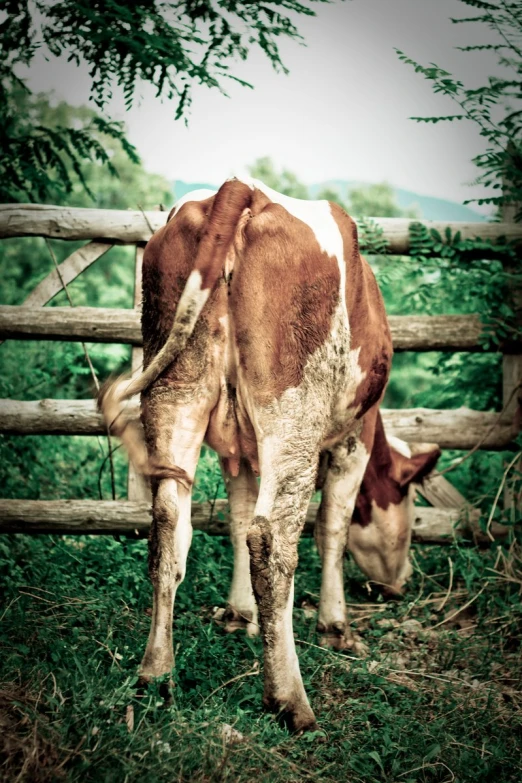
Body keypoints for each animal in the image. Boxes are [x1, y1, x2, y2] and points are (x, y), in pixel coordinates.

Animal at [99, 179, 436, 736]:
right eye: (408, 513)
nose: (399, 584)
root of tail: (241, 189)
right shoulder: (356, 436)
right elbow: (332, 528)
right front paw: (336, 627)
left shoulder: (239, 451)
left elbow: (236, 519)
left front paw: (240, 616)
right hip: (293, 411)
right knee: (273, 542)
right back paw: (290, 700)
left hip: (175, 390)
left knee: (169, 526)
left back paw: (156, 675)